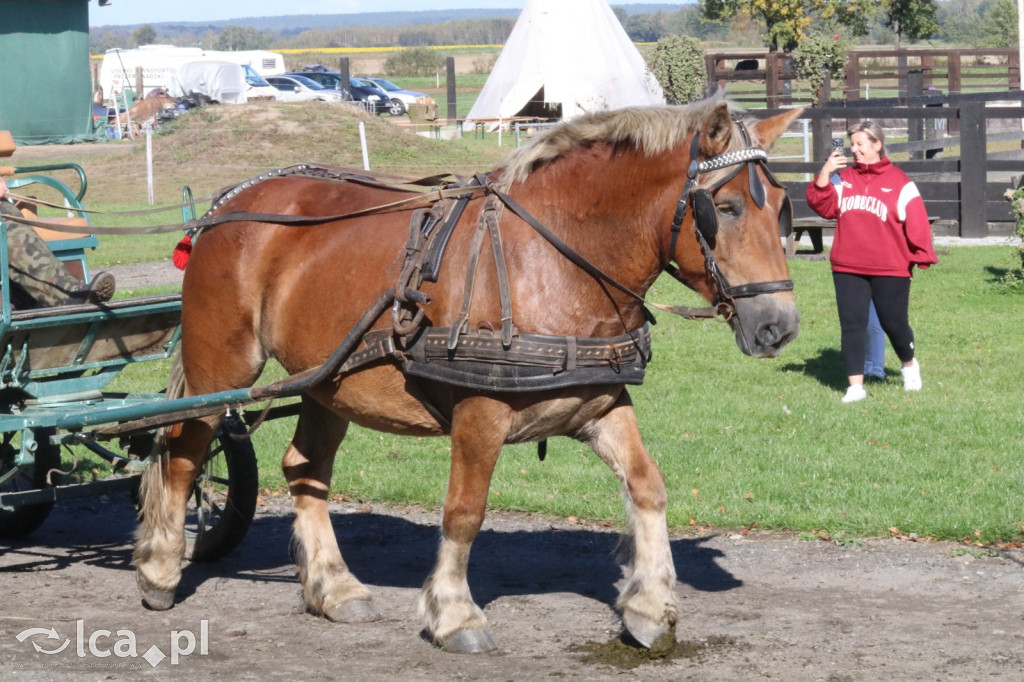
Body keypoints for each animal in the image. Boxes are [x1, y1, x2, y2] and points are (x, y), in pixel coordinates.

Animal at [136, 96, 802, 655]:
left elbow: (648, 487)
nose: (780, 326)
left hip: (326, 379)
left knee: (304, 468)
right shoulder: (478, 414)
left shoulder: (601, 403)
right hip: (220, 364)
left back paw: (333, 587)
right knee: (184, 451)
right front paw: (455, 615)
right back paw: (160, 567)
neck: (555, 258)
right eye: (725, 208)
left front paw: (651, 607)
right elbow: (465, 512)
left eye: (783, 207)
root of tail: (228, 204)